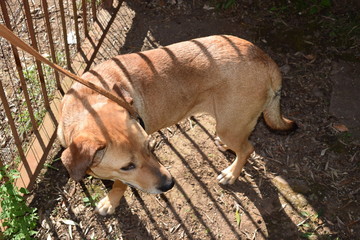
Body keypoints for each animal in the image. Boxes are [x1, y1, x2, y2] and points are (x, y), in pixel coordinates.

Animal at [58, 34, 296, 215]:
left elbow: (119, 185)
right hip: (232, 125)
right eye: (127, 166)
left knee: (247, 148)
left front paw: (111, 201)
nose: (169, 184)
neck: (89, 102)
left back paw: (231, 173)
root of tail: (266, 60)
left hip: (229, 127)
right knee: (243, 142)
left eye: (150, 147)